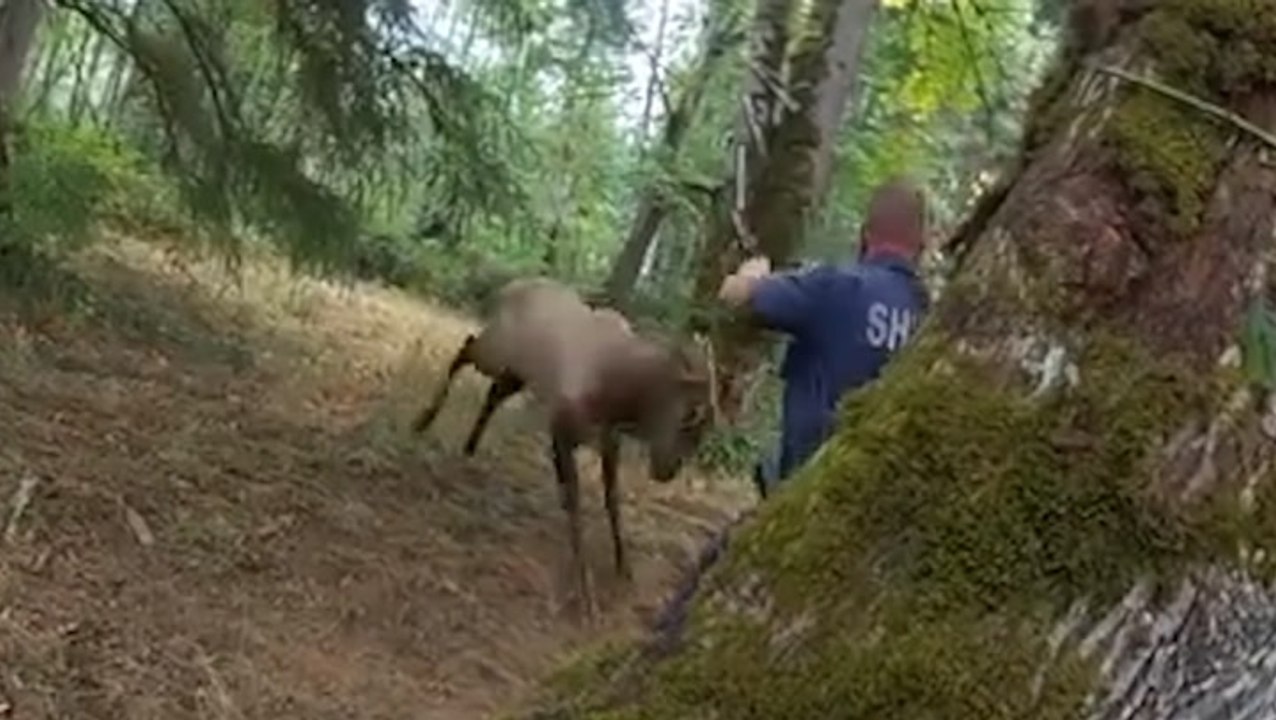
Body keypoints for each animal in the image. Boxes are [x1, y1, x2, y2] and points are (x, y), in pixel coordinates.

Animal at [411, 277, 720, 618]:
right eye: (691, 415)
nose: (669, 470)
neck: (616, 396)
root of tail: (508, 288)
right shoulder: (561, 430)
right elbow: (574, 502)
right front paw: (585, 590)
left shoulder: (609, 443)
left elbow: (612, 501)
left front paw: (624, 567)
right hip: (496, 352)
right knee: (465, 348)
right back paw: (423, 420)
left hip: (516, 373)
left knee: (492, 393)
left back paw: (469, 446)